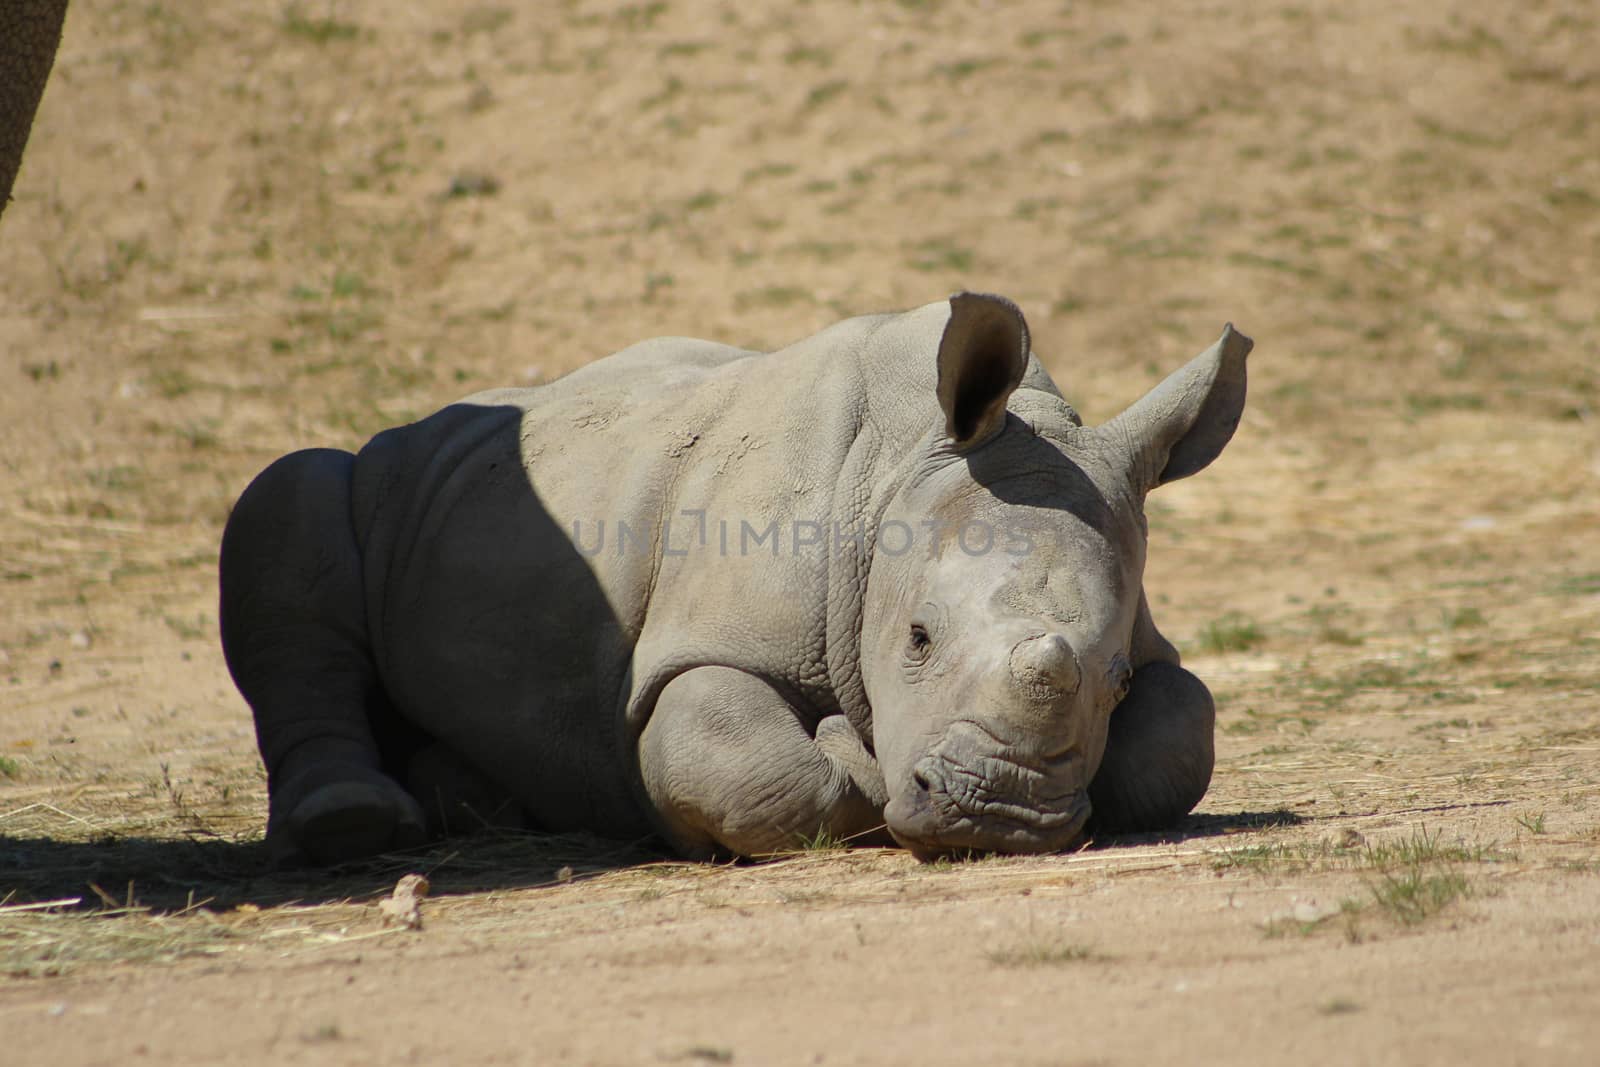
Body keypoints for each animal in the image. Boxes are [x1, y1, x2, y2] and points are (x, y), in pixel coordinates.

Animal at [222, 292, 1248, 870]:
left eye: (1116, 678)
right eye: (917, 637)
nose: (998, 813)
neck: (905, 456)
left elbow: (1180, 728)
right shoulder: (697, 647)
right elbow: (747, 761)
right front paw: (846, 751)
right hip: (375, 474)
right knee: (288, 503)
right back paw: (354, 827)